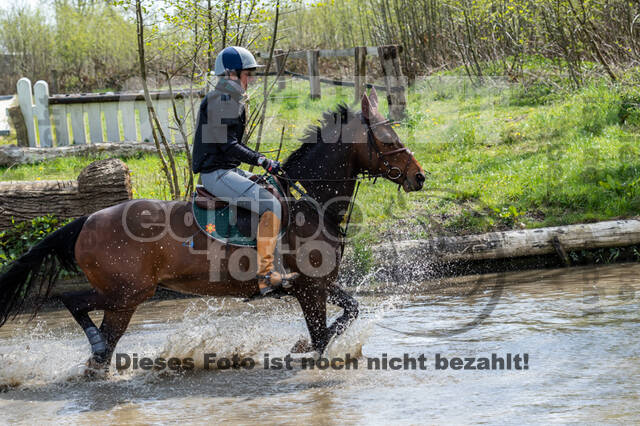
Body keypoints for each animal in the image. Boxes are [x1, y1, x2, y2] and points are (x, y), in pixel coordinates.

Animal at [0, 88, 424, 372]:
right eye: (389, 140)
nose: (420, 177)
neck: (311, 203)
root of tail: (87, 220)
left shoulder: (318, 283)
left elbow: (350, 311)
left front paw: (302, 343)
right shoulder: (310, 287)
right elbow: (323, 336)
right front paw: (303, 347)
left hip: (124, 298)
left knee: (98, 341)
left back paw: (101, 354)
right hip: (127, 292)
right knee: (73, 303)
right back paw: (97, 345)